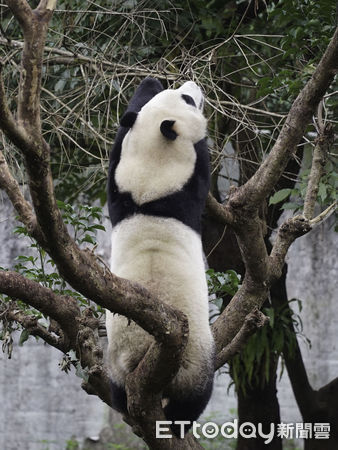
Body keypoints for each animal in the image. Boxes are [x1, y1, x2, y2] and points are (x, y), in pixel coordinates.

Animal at [107, 76, 215, 432]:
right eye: (187, 100)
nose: (194, 84)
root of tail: (140, 356)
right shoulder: (188, 183)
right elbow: (202, 159)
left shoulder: (120, 187)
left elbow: (122, 130)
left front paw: (147, 84)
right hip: (194, 357)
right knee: (196, 394)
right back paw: (182, 420)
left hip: (115, 363)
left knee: (118, 393)